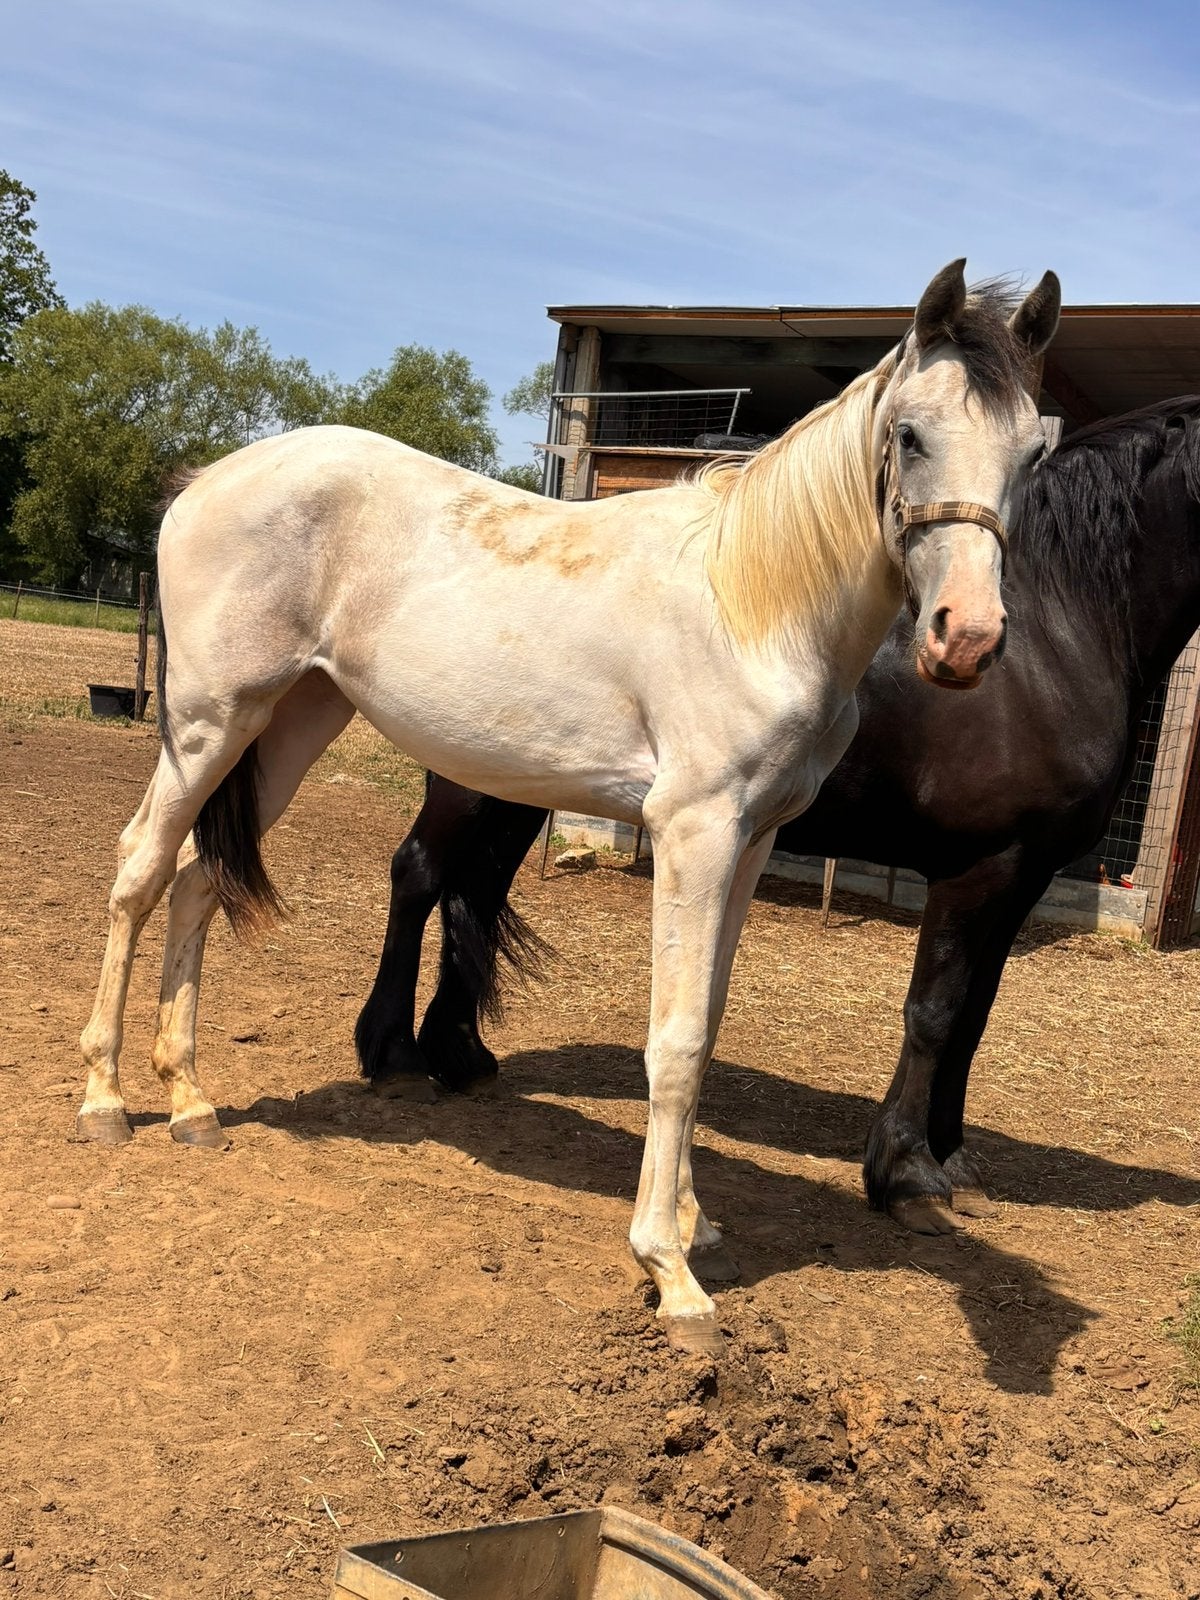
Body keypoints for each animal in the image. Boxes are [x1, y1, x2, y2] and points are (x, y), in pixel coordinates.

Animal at [78, 261, 1058, 1354]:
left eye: (1033, 450)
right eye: (912, 435)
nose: (967, 638)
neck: (753, 603)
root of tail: (203, 484)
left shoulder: (753, 841)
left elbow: (707, 1023)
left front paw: (694, 1223)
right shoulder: (694, 832)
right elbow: (675, 1042)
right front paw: (671, 1273)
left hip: (290, 722)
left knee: (199, 882)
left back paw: (192, 1101)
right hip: (210, 721)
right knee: (140, 867)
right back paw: (106, 1100)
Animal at [354, 393, 1200, 1244]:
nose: (968, 642)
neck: (1053, 634)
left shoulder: (1021, 878)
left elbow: (974, 1019)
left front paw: (953, 1161)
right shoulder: (976, 871)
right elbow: (934, 1013)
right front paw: (906, 1175)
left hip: (513, 786)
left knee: (476, 889)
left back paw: (460, 1054)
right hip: (472, 786)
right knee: (420, 876)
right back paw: (393, 1055)